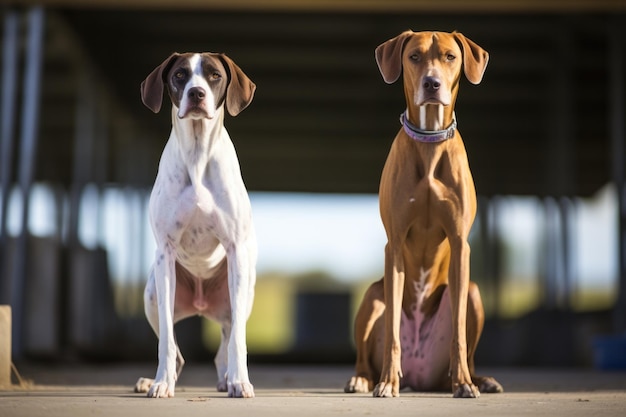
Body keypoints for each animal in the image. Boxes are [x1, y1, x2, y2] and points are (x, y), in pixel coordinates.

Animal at [135, 53, 256, 398]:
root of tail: (202, 303)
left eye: (214, 75)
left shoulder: (236, 250)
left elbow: (237, 342)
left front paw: (240, 381)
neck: (198, 154)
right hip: (152, 293)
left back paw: (228, 378)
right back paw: (155, 380)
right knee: (175, 349)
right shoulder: (165, 254)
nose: (197, 93)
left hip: (240, 293)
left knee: (227, 341)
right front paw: (162, 383)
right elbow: (166, 342)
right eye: (180, 75)